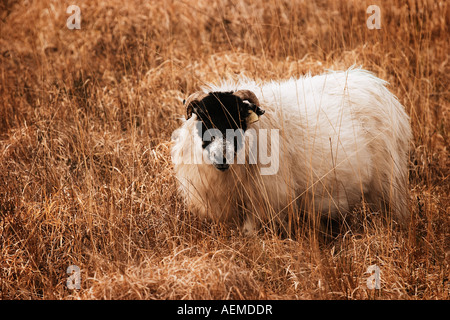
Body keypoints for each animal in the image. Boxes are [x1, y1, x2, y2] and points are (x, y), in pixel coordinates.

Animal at [171, 67, 414, 234]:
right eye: (204, 119)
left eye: (237, 119)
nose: (221, 157)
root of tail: (375, 84)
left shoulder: (263, 203)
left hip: (388, 181)